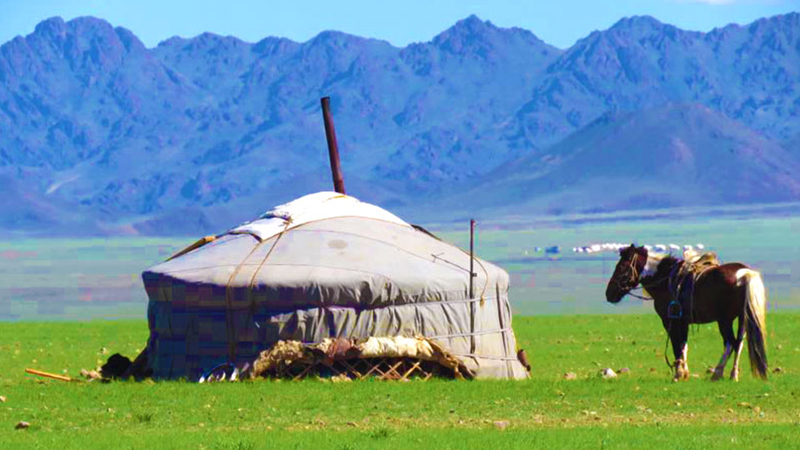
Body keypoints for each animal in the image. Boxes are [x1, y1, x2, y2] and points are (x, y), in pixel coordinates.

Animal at [605, 244, 768, 381]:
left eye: (622, 267)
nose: (609, 294)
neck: (665, 281)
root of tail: (745, 274)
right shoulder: (683, 322)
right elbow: (684, 345)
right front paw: (684, 372)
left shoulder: (670, 321)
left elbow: (676, 345)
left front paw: (678, 374)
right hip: (742, 318)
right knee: (739, 343)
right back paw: (733, 375)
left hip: (724, 320)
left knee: (730, 343)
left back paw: (717, 373)